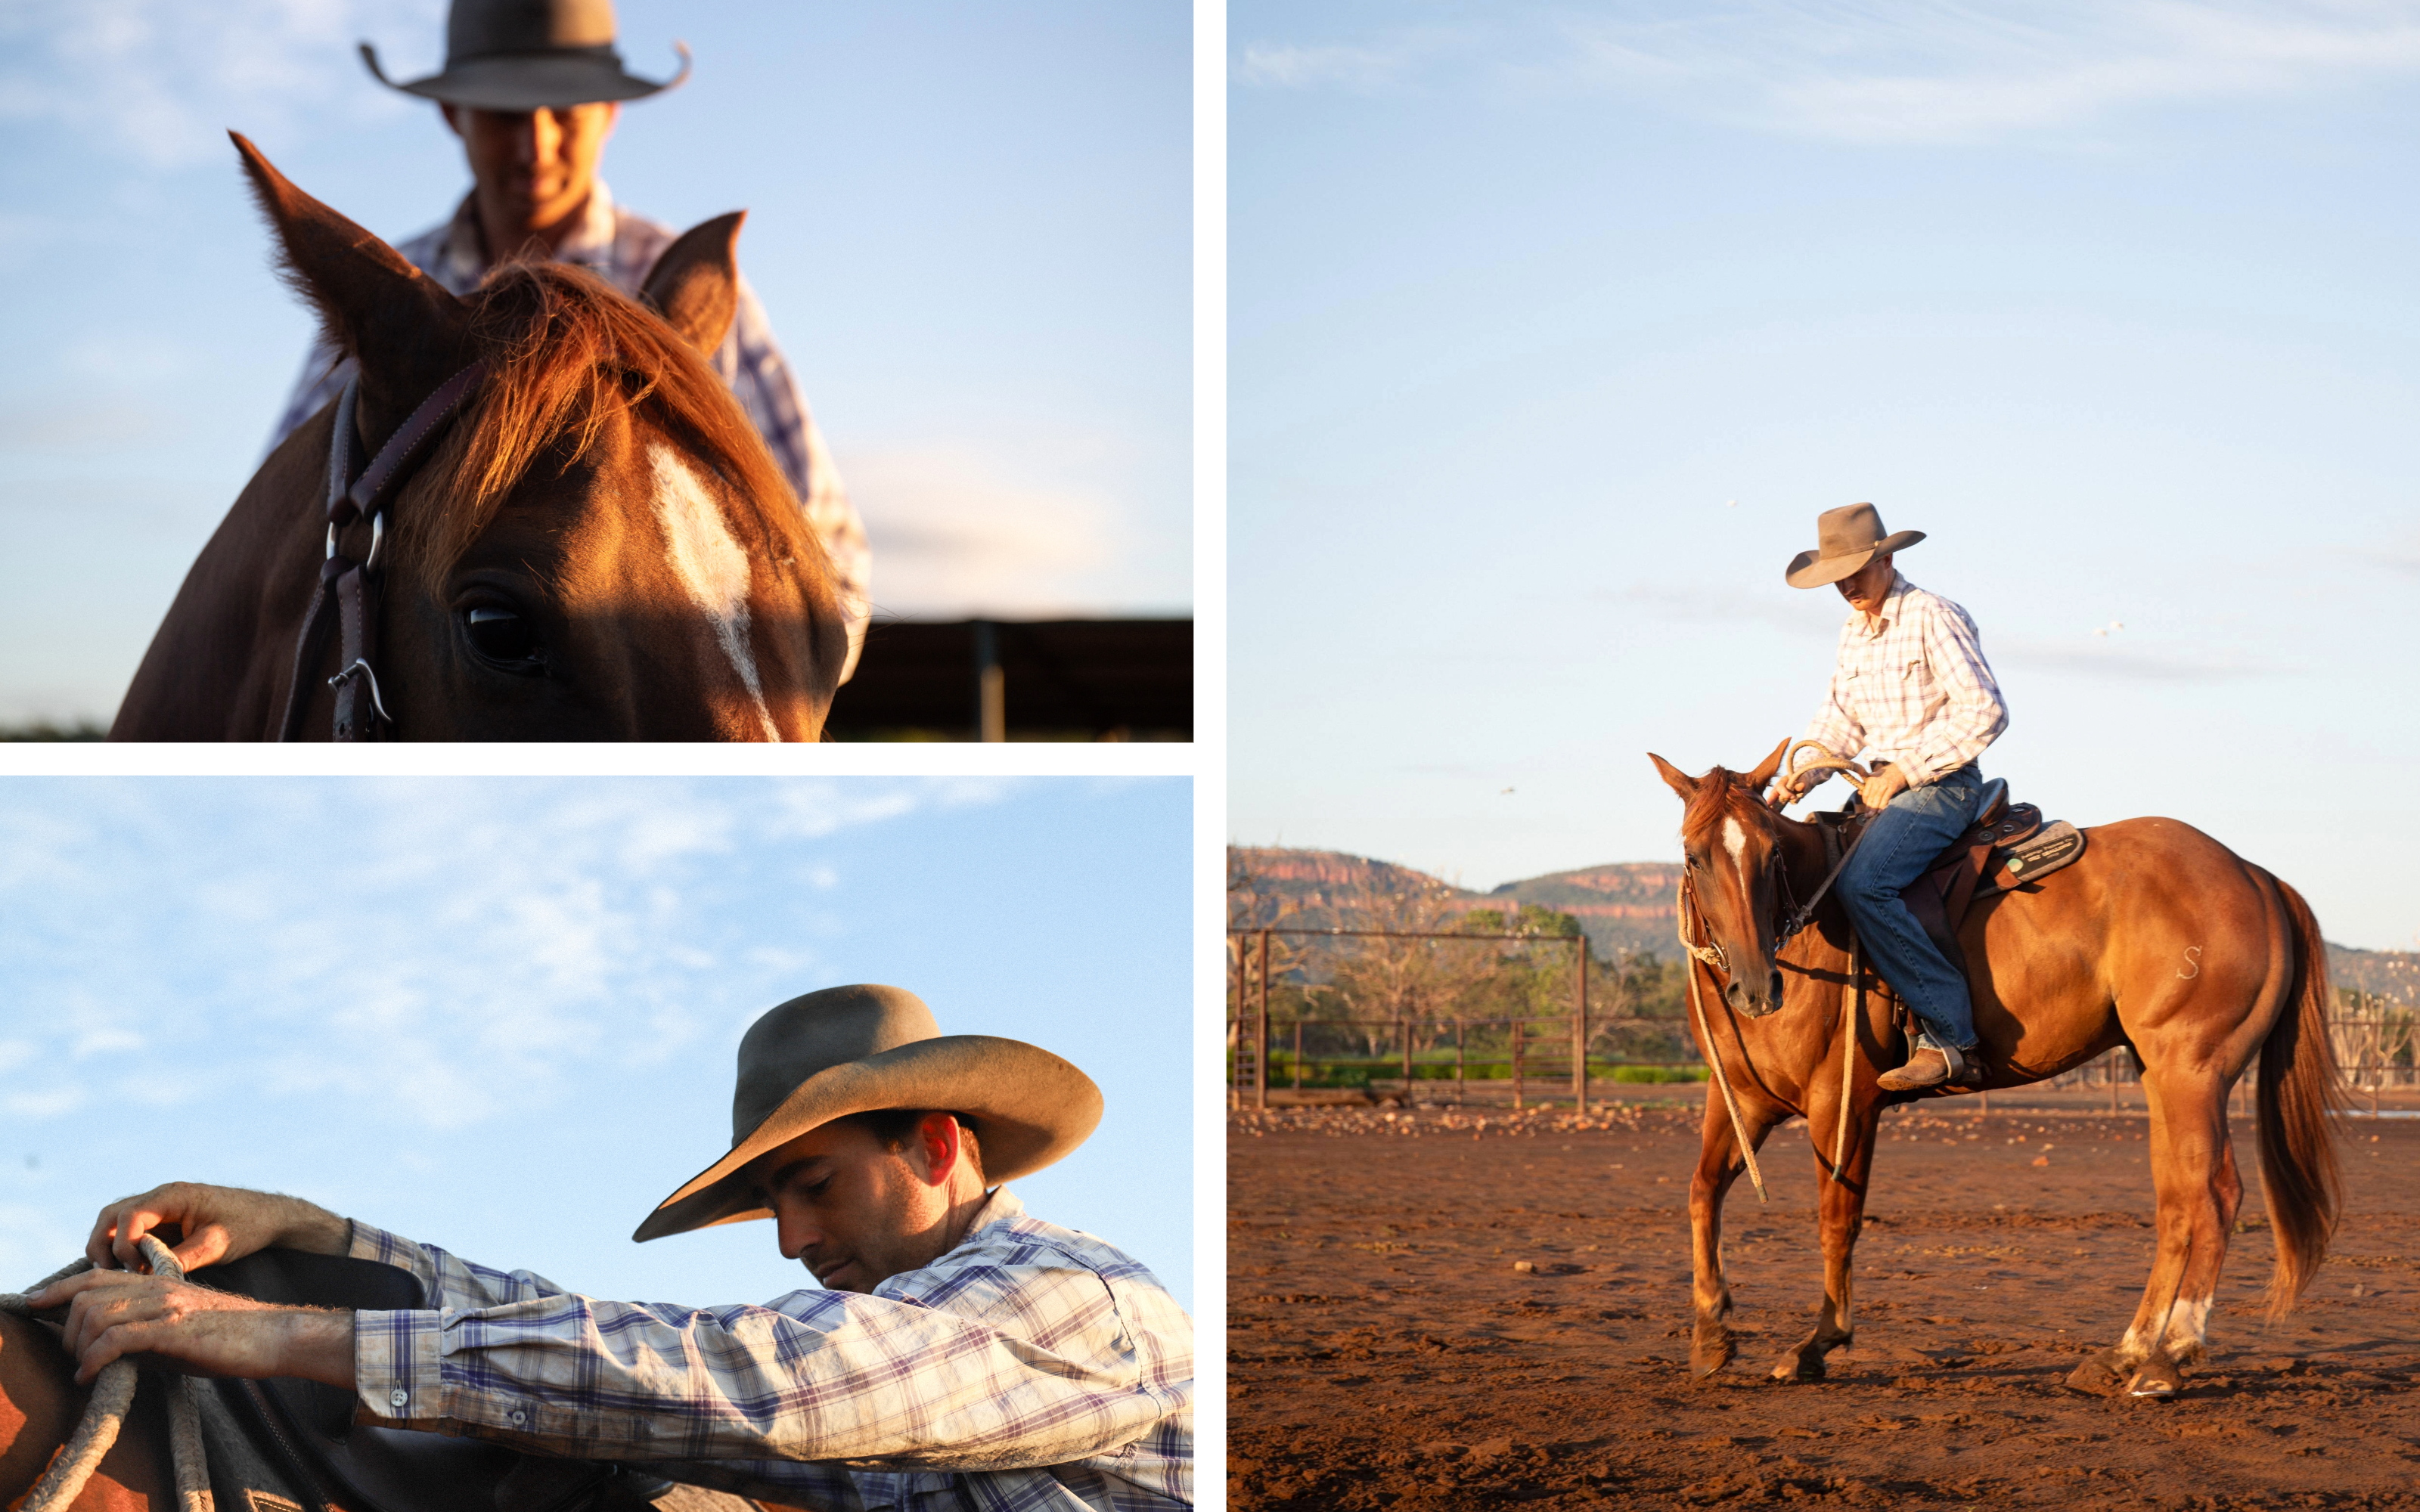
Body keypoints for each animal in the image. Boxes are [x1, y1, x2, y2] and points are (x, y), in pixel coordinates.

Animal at [1646, 735, 2342, 1393]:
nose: (1757, 988)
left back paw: (2169, 1359)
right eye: (1694, 855)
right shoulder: (1741, 1099)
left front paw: (1819, 1344)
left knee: (2215, 1193)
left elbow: (1837, 1220)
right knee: (2177, 1202)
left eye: (1772, 855)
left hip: (2194, 1069)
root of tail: (2256, 876)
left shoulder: (1844, 1105)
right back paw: (2125, 1353)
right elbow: (1702, 1192)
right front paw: (1711, 1334)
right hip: (2159, 1075)